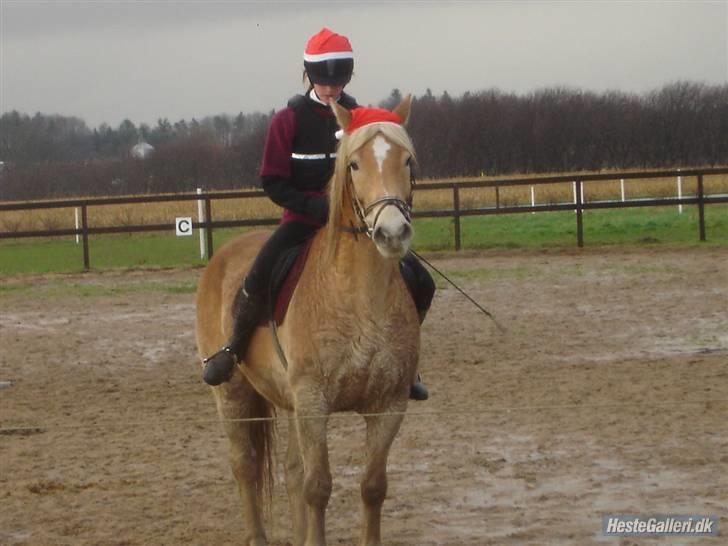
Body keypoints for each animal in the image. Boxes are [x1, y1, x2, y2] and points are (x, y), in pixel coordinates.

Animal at [196, 98, 420, 544]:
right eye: (354, 164)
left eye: (407, 161)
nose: (391, 233)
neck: (361, 301)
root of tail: (223, 252)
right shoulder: (314, 402)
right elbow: (319, 488)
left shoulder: (389, 404)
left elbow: (372, 487)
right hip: (233, 394)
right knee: (245, 464)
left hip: (288, 401)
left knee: (291, 470)